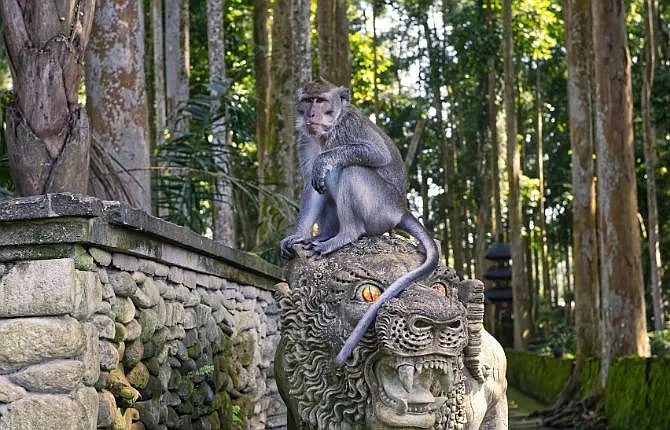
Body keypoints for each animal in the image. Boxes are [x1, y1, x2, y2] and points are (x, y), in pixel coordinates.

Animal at [280, 79, 439, 365]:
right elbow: (311, 186)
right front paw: (297, 236)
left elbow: (374, 154)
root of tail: (401, 209)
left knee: (348, 169)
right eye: (307, 100)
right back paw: (325, 235)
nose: (311, 114)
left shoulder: (349, 127)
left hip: (380, 207)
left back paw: (345, 235)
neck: (327, 133)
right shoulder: (306, 140)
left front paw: (325, 159)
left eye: (320, 100)